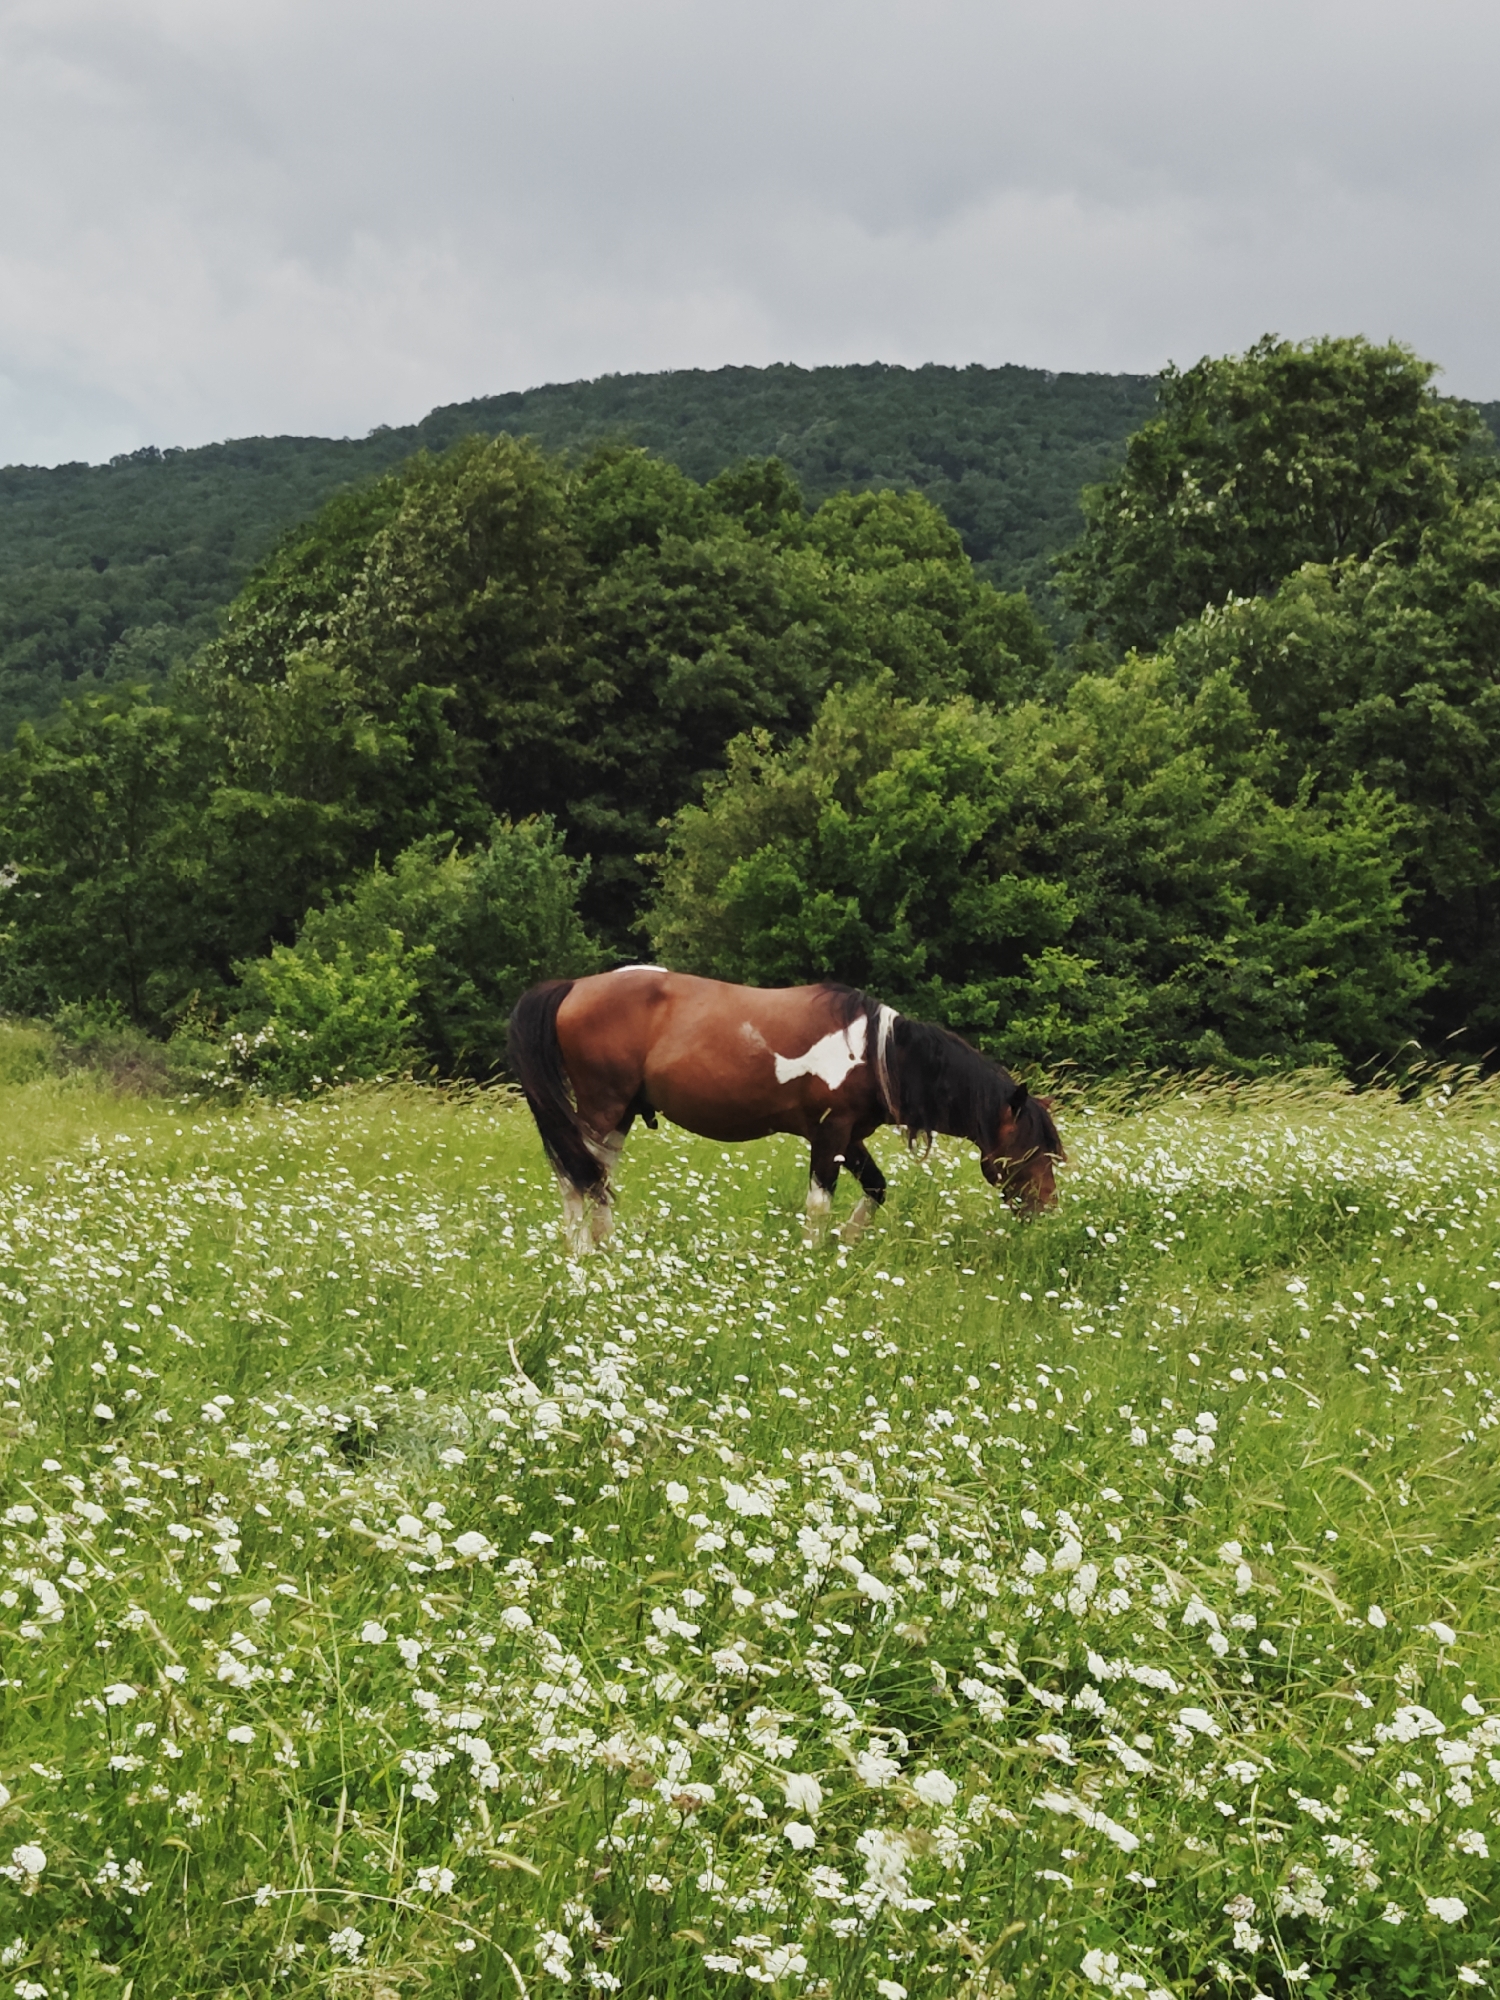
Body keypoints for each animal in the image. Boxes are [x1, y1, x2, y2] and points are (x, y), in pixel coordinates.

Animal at [507, 967, 1062, 1254]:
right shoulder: (829, 1135)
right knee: (576, 1176)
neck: (877, 1053)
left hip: (619, 1114)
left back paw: (607, 1247)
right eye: (1031, 1150)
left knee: (597, 1176)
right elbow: (818, 1203)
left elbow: (877, 1188)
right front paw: (814, 1256)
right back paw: (583, 1251)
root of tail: (574, 986)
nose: (1047, 1210)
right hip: (601, 1108)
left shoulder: (850, 1137)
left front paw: (846, 1243)